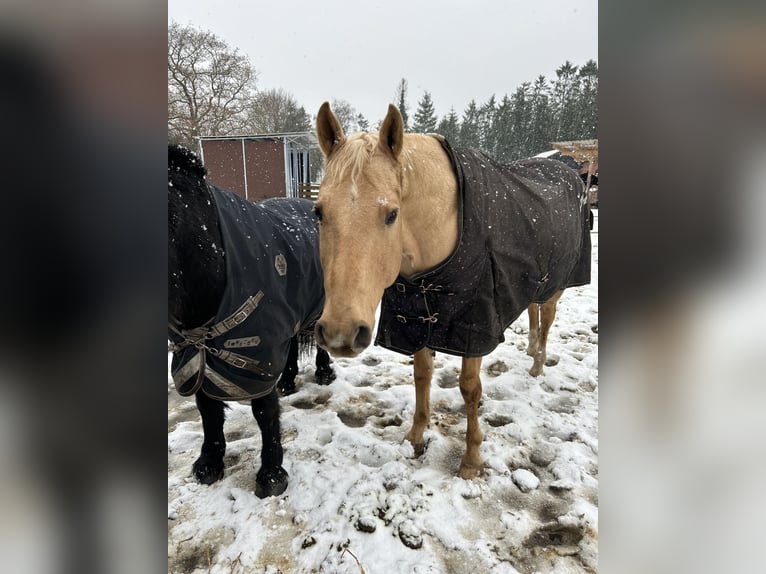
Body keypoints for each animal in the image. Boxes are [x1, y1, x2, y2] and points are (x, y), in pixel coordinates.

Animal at [168, 144, 336, 500]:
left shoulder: (258, 351)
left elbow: (264, 412)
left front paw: (271, 474)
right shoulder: (196, 351)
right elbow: (208, 409)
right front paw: (209, 463)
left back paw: (324, 373)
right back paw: (288, 381)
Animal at [316, 103, 592, 482]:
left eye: (392, 214)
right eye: (318, 212)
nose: (340, 335)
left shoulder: (474, 328)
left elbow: (469, 388)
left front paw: (472, 458)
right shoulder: (416, 319)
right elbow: (422, 375)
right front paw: (415, 438)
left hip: (557, 284)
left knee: (547, 318)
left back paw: (537, 364)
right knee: (534, 312)